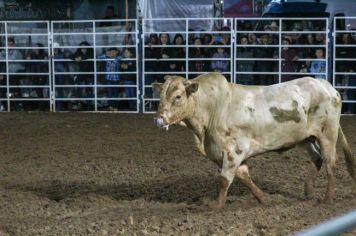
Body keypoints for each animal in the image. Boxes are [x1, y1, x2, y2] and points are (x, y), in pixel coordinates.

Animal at [153, 73, 356, 209]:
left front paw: (216, 206)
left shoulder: (234, 151)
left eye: (178, 96)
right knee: (317, 159)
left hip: (327, 133)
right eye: (160, 96)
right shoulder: (222, 153)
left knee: (330, 162)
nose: (160, 119)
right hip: (306, 138)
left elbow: (224, 180)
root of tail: (326, 85)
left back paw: (327, 199)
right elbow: (243, 176)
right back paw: (308, 192)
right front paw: (264, 199)